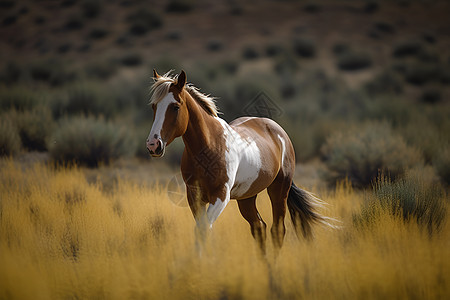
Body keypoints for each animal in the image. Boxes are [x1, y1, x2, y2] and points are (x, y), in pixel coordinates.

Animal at [147, 69, 334, 252]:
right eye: (154, 106)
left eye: (175, 106)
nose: (153, 145)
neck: (209, 147)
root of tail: (279, 132)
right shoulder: (194, 196)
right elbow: (201, 229)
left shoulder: (221, 195)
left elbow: (204, 229)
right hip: (247, 198)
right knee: (259, 227)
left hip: (279, 190)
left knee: (277, 230)